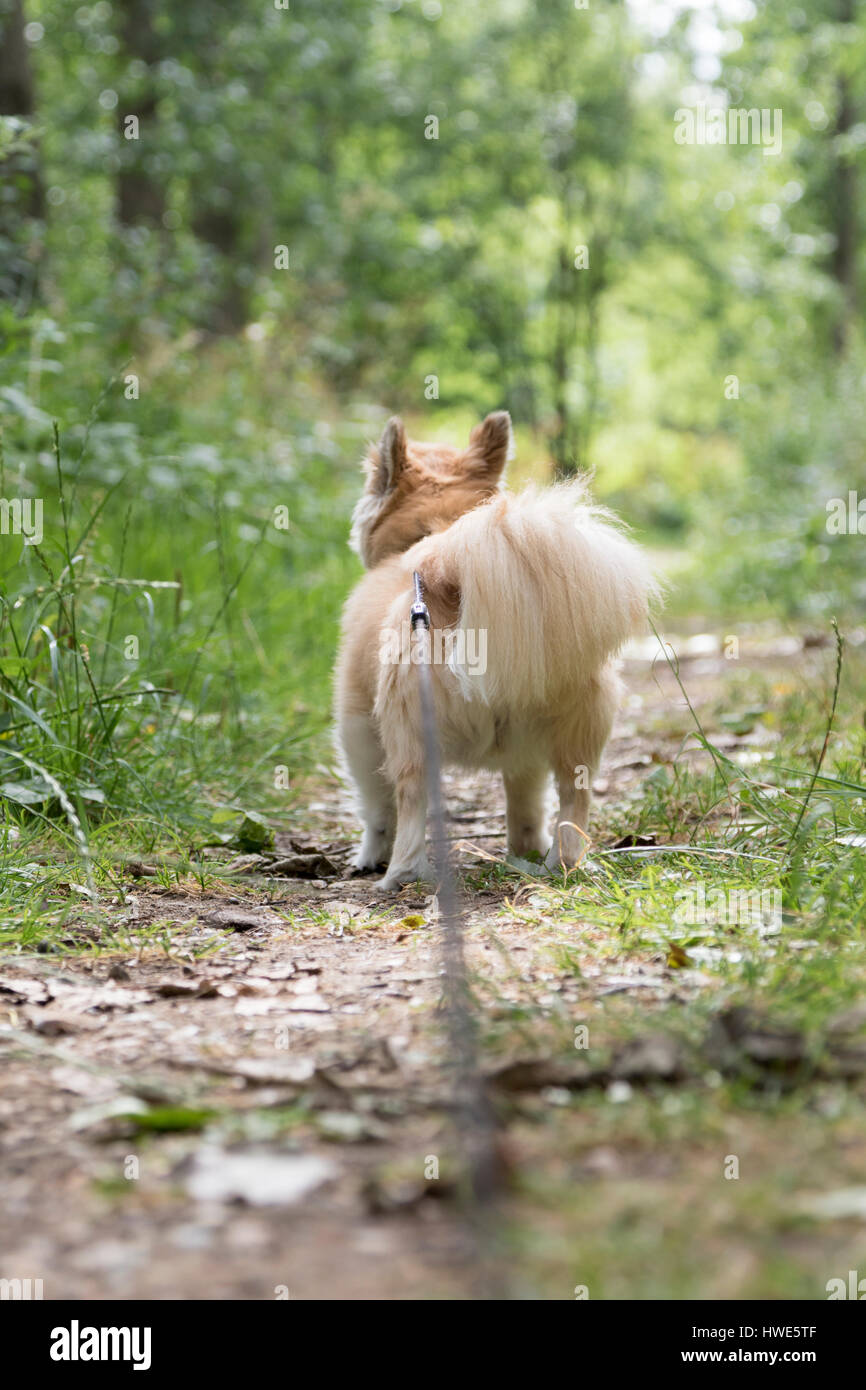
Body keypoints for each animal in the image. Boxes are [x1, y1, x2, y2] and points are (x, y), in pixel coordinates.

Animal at [335, 411, 661, 889]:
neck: (442, 524)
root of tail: (452, 570)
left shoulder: (358, 724)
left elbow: (377, 807)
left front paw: (368, 854)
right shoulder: (524, 758)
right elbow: (525, 804)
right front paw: (525, 848)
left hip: (408, 729)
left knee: (410, 800)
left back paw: (403, 875)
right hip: (576, 736)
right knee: (572, 800)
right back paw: (563, 862)